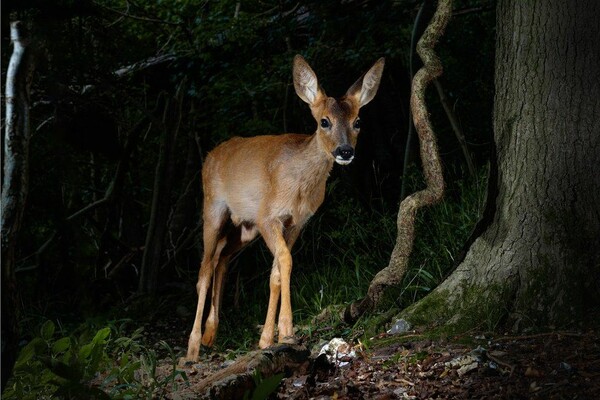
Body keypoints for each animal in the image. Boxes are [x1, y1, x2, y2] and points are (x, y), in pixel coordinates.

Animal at [183, 54, 384, 362]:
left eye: (358, 121)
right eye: (324, 121)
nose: (345, 151)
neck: (300, 184)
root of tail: (209, 156)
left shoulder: (296, 222)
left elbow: (276, 272)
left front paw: (266, 338)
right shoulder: (269, 216)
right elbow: (286, 262)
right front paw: (287, 331)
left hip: (245, 228)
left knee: (222, 260)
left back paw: (210, 335)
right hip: (213, 208)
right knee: (204, 270)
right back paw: (192, 348)